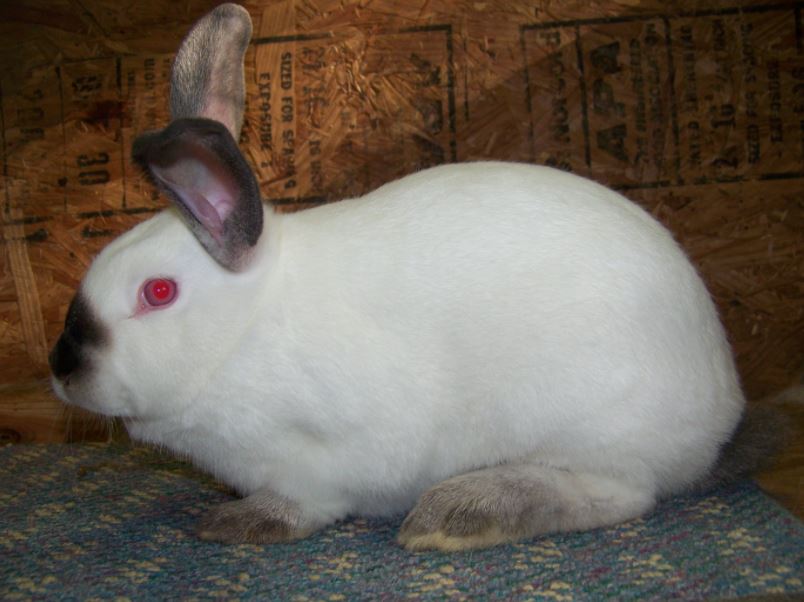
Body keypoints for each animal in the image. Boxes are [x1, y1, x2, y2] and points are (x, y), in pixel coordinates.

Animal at [49, 3, 781, 551]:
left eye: (158, 293)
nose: (62, 370)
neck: (244, 333)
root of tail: (720, 414)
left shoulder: (321, 457)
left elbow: (306, 503)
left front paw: (238, 523)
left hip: (592, 426)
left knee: (621, 496)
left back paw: (459, 514)